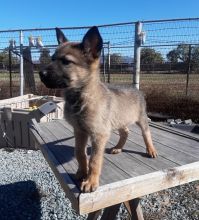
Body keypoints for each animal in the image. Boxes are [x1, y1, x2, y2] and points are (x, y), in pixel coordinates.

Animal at [38, 26, 157, 192]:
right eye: (52, 58)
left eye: (66, 62)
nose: (40, 74)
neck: (81, 97)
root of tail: (136, 89)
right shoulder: (80, 131)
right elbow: (80, 153)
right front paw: (82, 172)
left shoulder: (99, 135)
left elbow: (94, 160)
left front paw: (90, 181)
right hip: (118, 120)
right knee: (125, 132)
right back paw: (118, 148)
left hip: (140, 119)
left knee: (147, 134)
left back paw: (151, 149)